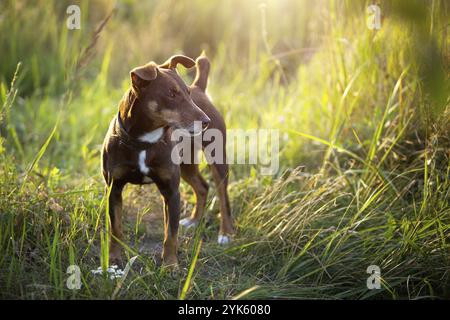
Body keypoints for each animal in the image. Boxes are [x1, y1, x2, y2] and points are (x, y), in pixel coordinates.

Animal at [101, 54, 236, 264]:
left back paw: (225, 233)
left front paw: (170, 264)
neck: (144, 141)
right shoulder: (113, 189)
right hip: (186, 163)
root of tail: (199, 87)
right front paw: (114, 259)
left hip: (217, 158)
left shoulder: (171, 191)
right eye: (171, 94)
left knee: (223, 196)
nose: (205, 121)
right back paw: (194, 220)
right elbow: (115, 228)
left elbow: (171, 234)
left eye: (187, 93)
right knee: (202, 187)